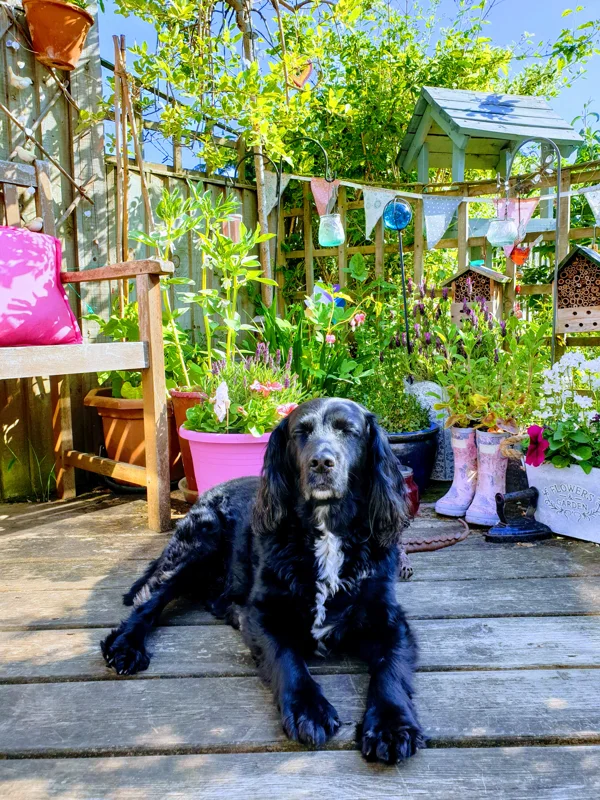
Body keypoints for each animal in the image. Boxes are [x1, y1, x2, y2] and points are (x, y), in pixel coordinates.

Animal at [102, 396, 422, 764]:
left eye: (349, 431)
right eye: (301, 432)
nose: (321, 463)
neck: (327, 533)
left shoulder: (388, 620)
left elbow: (389, 670)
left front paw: (391, 726)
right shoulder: (264, 614)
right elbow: (287, 657)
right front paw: (308, 709)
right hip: (199, 541)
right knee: (149, 602)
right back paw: (126, 647)